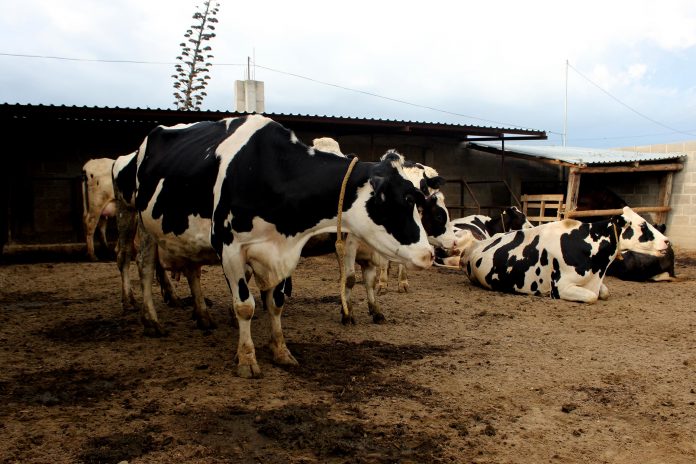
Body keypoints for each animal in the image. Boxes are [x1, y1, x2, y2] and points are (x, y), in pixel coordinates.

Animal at [113, 114, 432, 378]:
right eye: (405, 200)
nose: (429, 255)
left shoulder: (282, 251)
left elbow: (276, 302)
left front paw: (280, 351)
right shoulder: (229, 247)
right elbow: (245, 306)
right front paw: (246, 358)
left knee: (192, 270)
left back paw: (202, 316)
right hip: (137, 218)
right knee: (143, 266)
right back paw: (150, 320)